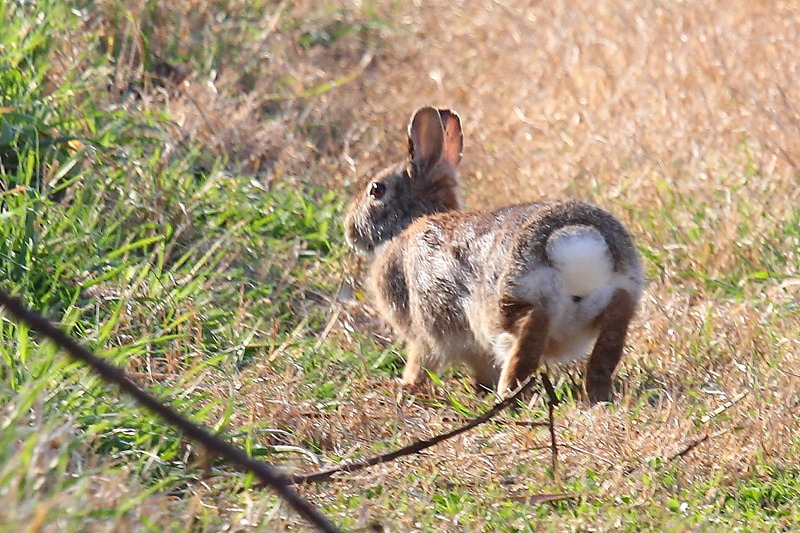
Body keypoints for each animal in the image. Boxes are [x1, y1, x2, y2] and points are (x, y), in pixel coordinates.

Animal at [344, 106, 644, 402]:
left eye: (376, 190)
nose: (350, 229)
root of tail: (573, 238)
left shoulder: (424, 331)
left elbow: (422, 360)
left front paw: (406, 385)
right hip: (618, 296)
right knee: (611, 334)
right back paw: (598, 394)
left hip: (507, 302)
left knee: (529, 329)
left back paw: (508, 393)